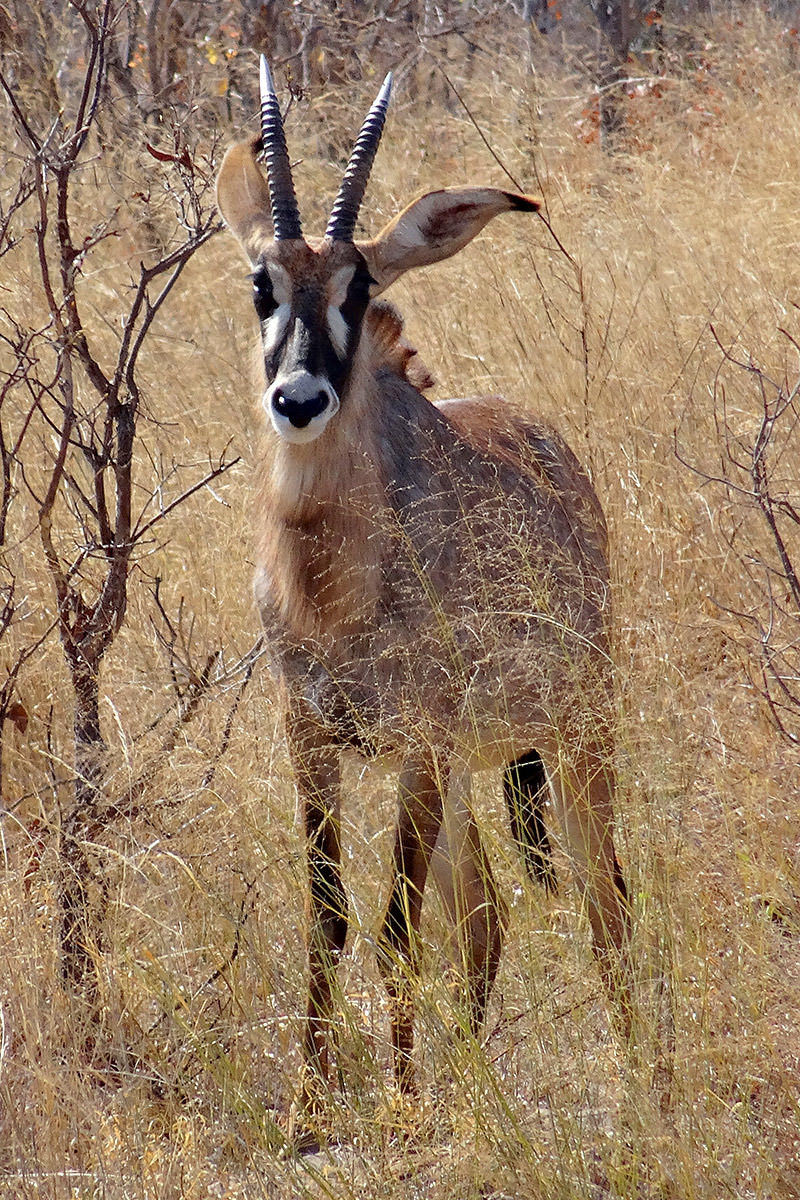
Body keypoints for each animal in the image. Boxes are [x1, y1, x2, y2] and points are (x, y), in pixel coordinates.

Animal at [217, 60, 633, 1099]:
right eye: (261, 284)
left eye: (360, 285)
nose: (298, 399)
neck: (334, 585)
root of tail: (549, 445)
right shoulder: (311, 738)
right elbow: (329, 924)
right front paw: (317, 1110)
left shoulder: (421, 743)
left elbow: (397, 934)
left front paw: (400, 1112)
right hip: (474, 769)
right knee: (485, 918)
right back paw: (469, 1078)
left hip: (574, 733)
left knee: (605, 902)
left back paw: (646, 1080)